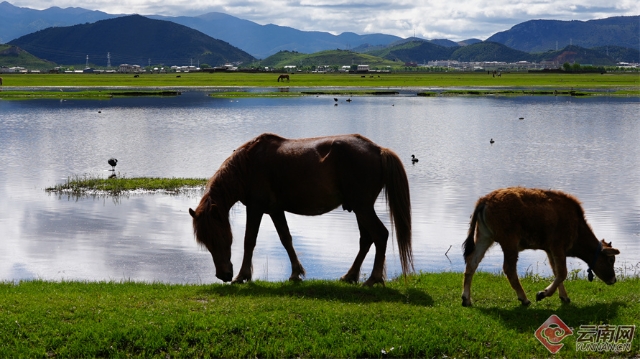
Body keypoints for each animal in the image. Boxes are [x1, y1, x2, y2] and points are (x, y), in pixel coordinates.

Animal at [188, 132, 412, 286]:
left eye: (218, 237)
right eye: (206, 242)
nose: (223, 275)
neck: (249, 165)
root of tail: (379, 150)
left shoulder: (255, 208)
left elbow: (249, 241)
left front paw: (242, 276)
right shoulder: (275, 210)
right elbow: (286, 239)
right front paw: (296, 273)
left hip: (363, 208)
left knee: (380, 235)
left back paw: (373, 279)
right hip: (360, 210)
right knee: (366, 240)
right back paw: (350, 276)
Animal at [460, 187, 620, 308]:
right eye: (610, 259)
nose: (614, 279)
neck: (576, 224)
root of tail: (485, 199)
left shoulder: (550, 250)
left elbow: (556, 272)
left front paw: (564, 297)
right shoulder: (557, 247)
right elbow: (562, 272)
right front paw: (542, 294)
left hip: (484, 237)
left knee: (472, 262)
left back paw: (466, 299)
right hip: (509, 243)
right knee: (509, 269)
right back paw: (524, 299)